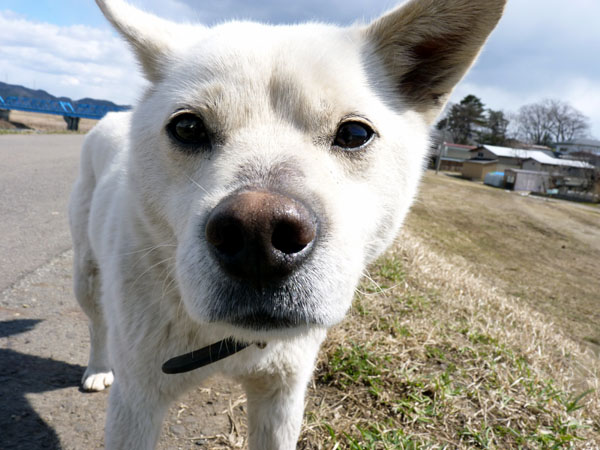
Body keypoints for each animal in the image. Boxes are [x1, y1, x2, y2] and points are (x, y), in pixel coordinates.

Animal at [68, 0, 504, 446]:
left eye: (354, 133)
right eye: (187, 127)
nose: (257, 236)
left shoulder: (282, 396)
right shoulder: (136, 403)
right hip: (86, 275)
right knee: (97, 323)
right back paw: (98, 368)